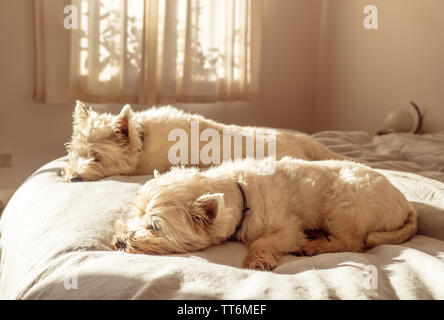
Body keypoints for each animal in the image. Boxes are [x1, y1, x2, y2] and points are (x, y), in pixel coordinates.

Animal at [112, 158, 418, 270]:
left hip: (345, 200)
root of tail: (405, 204)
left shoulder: (288, 229)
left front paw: (256, 260)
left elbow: (263, 241)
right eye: (136, 214)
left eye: (155, 227)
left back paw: (316, 245)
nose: (118, 242)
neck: (240, 193)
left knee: (352, 241)